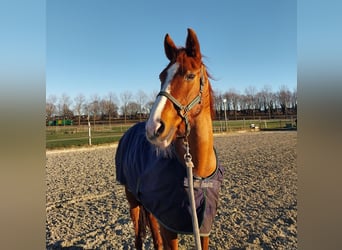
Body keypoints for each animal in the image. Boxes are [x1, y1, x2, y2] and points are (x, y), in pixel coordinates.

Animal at [115, 28, 224, 249]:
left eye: (190, 75)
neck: (197, 174)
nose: (153, 127)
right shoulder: (169, 227)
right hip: (133, 201)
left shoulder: (203, 227)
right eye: (161, 76)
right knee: (138, 238)